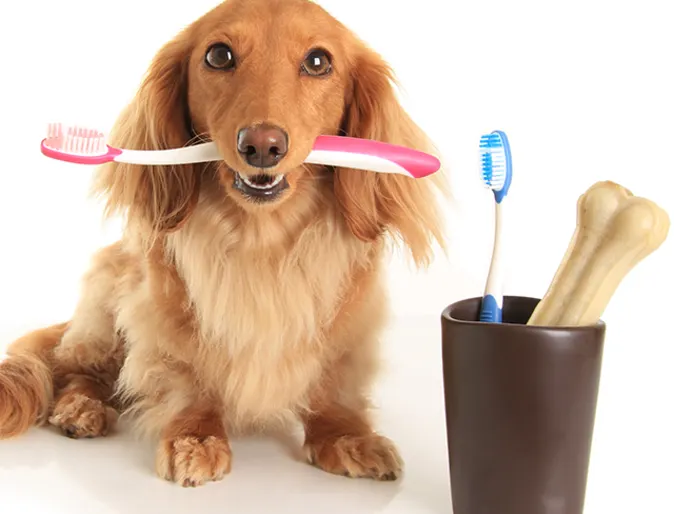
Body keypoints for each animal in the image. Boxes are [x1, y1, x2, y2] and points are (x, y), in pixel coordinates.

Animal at [0, 0, 446, 484]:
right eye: (218, 56)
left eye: (318, 62)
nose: (262, 145)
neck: (262, 240)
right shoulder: (166, 313)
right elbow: (190, 378)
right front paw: (195, 437)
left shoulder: (347, 321)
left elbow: (333, 386)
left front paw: (345, 436)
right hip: (107, 299)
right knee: (82, 369)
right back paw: (82, 406)